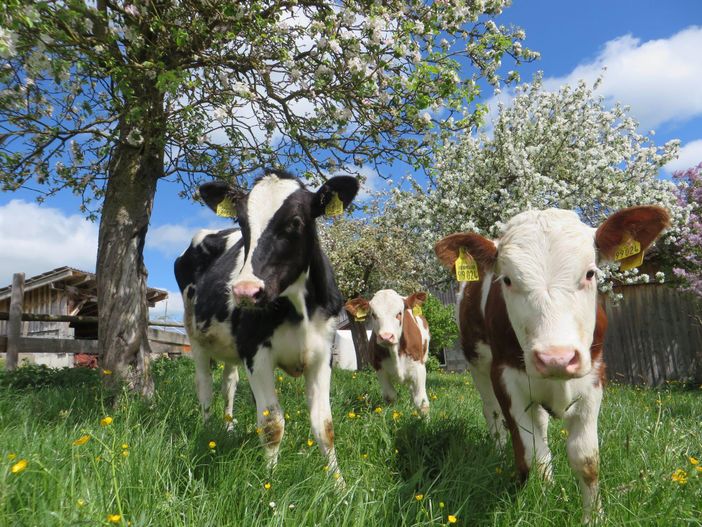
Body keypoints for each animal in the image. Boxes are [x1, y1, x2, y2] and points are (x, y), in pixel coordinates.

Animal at [174, 169, 360, 474]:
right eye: (241, 222)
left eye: (296, 221)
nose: (244, 291)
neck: (299, 310)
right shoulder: (256, 353)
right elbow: (272, 423)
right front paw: (269, 480)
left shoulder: (322, 354)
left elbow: (325, 426)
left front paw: (338, 482)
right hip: (195, 337)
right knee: (204, 387)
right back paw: (209, 432)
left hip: (229, 347)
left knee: (229, 384)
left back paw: (228, 429)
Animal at [434, 207, 672, 524]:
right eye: (506, 280)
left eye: (590, 273)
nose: (555, 358)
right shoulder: (505, 379)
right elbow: (531, 454)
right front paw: (538, 506)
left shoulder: (594, 377)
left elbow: (585, 459)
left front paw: (593, 517)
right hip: (477, 364)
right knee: (494, 415)